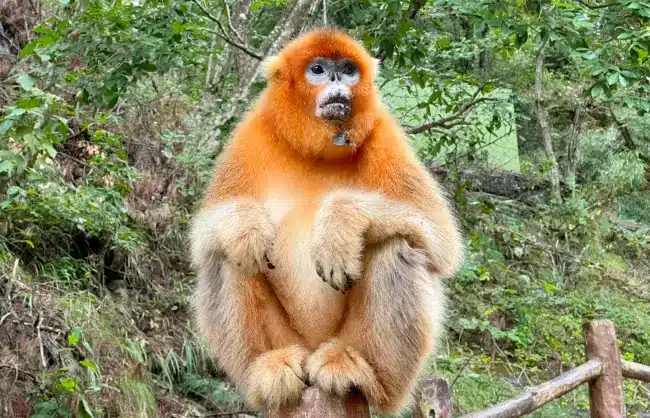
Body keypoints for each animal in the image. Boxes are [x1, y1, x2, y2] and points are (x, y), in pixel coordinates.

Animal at [190, 28, 463, 414]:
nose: (336, 80)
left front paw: (338, 228)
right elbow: (202, 238)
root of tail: (313, 347)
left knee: (398, 247)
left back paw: (357, 369)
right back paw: (269, 365)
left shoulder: (383, 131)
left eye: (348, 69)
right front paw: (248, 227)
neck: (317, 152)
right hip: (291, 339)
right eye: (318, 69)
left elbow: (440, 237)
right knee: (226, 254)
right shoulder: (253, 131)